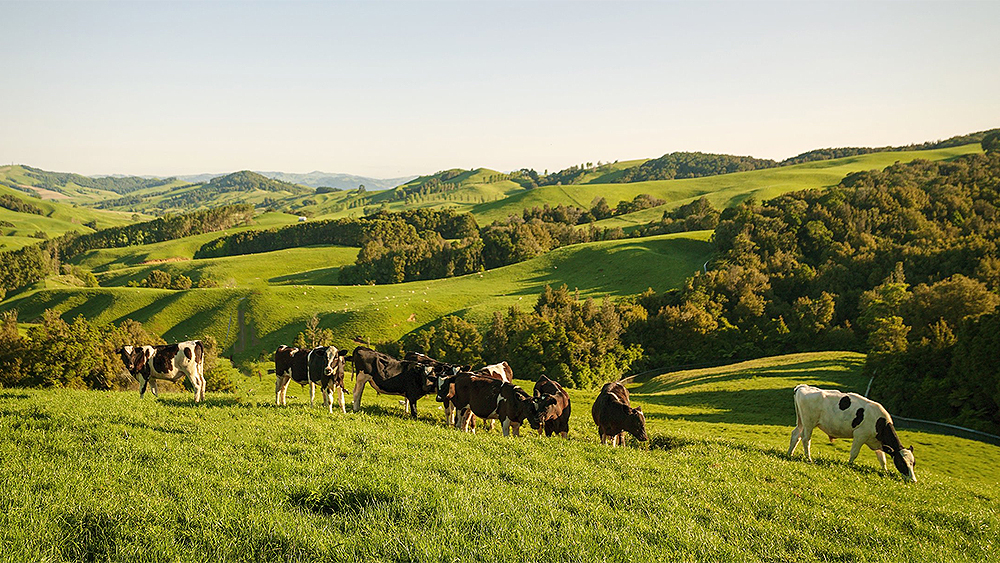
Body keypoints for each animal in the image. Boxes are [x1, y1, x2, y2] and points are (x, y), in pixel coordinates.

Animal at [784, 386, 916, 482]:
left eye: (913, 463)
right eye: (902, 462)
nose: (913, 480)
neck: (880, 423)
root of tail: (803, 387)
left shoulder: (877, 442)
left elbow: (882, 459)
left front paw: (885, 471)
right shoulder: (859, 435)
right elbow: (854, 453)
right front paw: (849, 465)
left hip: (801, 421)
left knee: (796, 435)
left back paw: (790, 454)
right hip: (809, 422)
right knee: (805, 439)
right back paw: (809, 458)